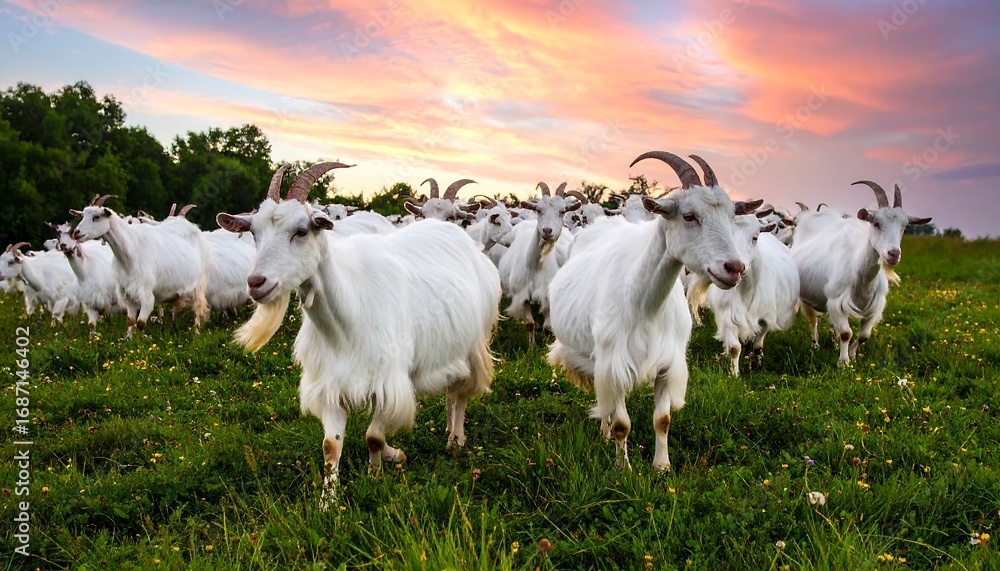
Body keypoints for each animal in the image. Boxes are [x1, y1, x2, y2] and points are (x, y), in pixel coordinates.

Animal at [71, 194, 212, 339]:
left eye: (97, 216)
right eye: (83, 215)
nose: (76, 232)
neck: (131, 250)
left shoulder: (146, 293)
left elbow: (140, 323)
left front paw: (141, 341)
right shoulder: (127, 292)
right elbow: (131, 320)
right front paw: (128, 339)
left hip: (199, 285)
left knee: (197, 309)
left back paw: (196, 333)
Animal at [217, 163, 501, 504]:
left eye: (301, 230)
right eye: (254, 233)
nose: (256, 282)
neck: (347, 318)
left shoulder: (387, 380)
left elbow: (374, 436)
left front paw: (380, 469)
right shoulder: (330, 383)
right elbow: (330, 446)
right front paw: (328, 501)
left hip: (474, 344)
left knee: (460, 393)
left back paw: (455, 439)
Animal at [547, 151, 760, 471]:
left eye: (731, 217)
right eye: (689, 216)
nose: (734, 268)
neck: (645, 304)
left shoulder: (668, 363)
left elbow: (663, 420)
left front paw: (662, 466)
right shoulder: (615, 362)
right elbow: (622, 423)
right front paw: (624, 468)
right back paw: (605, 434)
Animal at [790, 181, 931, 366]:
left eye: (905, 226)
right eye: (876, 224)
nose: (893, 254)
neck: (862, 276)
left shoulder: (875, 307)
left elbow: (864, 335)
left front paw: (852, 355)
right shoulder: (837, 301)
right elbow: (846, 333)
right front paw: (843, 363)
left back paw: (834, 344)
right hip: (806, 298)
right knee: (813, 321)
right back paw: (815, 345)